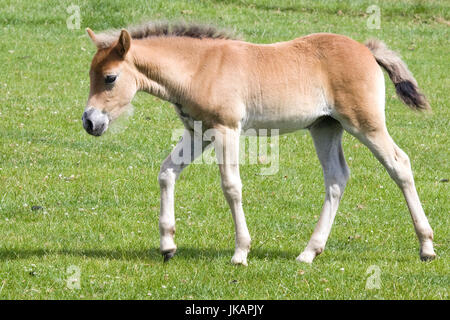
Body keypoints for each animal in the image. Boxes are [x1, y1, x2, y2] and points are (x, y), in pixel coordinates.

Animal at [81, 22, 436, 264]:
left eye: (110, 78)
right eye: (90, 75)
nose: (90, 122)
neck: (198, 68)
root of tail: (366, 49)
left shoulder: (226, 130)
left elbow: (231, 186)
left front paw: (241, 252)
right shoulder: (198, 132)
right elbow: (167, 171)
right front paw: (168, 245)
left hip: (365, 123)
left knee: (399, 164)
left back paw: (427, 247)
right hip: (325, 127)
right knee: (336, 178)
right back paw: (309, 251)